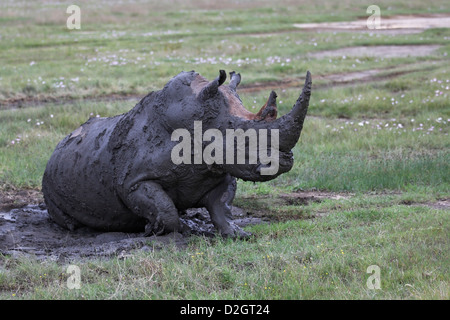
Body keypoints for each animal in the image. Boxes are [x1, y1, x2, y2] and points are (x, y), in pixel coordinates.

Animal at [42, 70, 312, 238]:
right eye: (242, 139)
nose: (285, 162)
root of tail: (60, 143)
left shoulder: (221, 171)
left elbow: (221, 207)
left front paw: (238, 234)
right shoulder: (134, 181)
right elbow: (164, 209)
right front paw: (165, 229)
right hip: (49, 177)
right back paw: (75, 228)